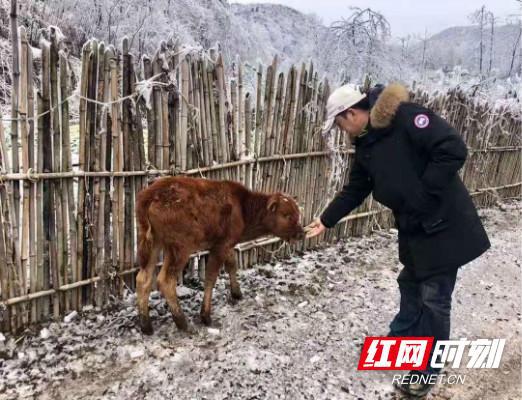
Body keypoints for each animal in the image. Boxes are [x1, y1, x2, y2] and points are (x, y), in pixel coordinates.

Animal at [135, 177, 304, 332]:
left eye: (297, 213)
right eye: (286, 215)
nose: (301, 234)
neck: (242, 208)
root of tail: (149, 196)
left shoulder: (227, 244)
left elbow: (232, 265)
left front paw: (237, 293)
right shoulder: (220, 246)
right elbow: (211, 277)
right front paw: (205, 316)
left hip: (153, 243)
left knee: (143, 278)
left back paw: (146, 326)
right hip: (179, 247)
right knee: (165, 280)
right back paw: (182, 323)